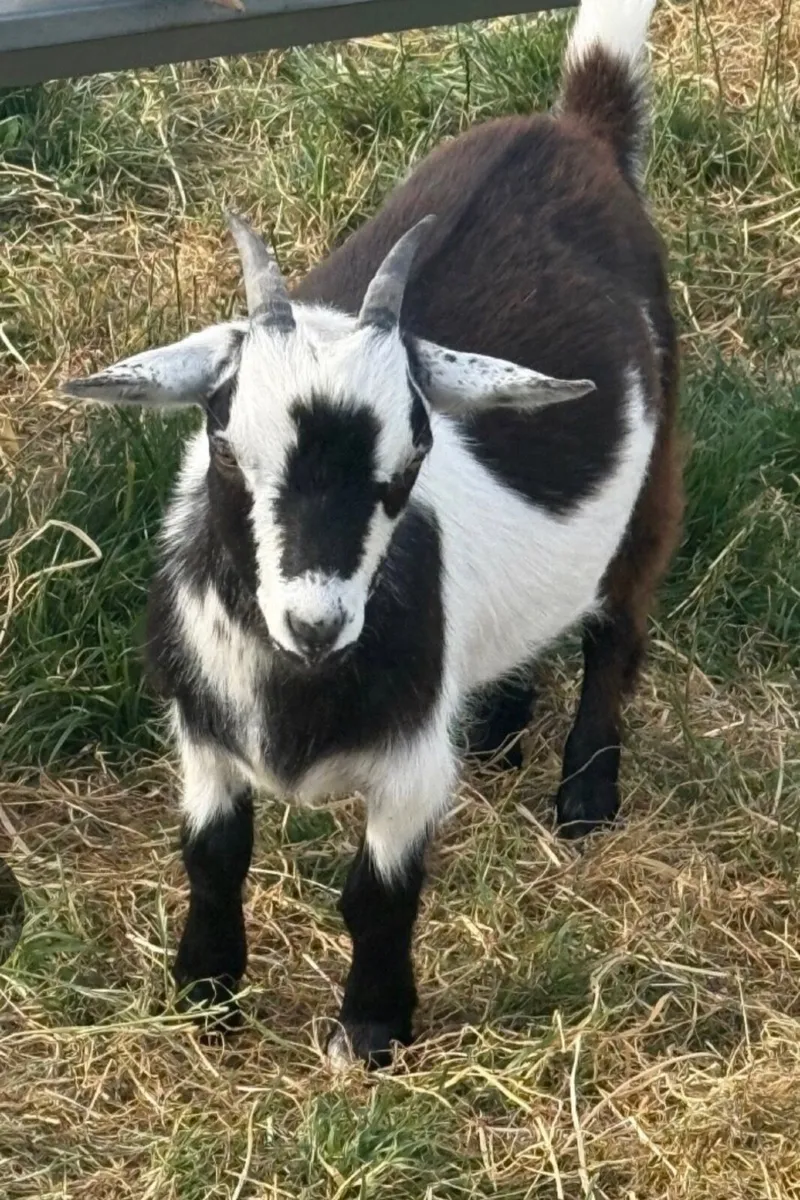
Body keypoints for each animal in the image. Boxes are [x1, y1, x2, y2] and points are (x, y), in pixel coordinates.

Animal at [62, 0, 683, 1067]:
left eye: (417, 449)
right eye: (223, 440)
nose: (315, 623)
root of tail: (573, 126)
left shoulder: (408, 769)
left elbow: (377, 895)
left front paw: (373, 1027)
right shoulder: (201, 731)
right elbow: (213, 858)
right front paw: (205, 994)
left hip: (656, 471)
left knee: (618, 623)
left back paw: (585, 795)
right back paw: (502, 723)